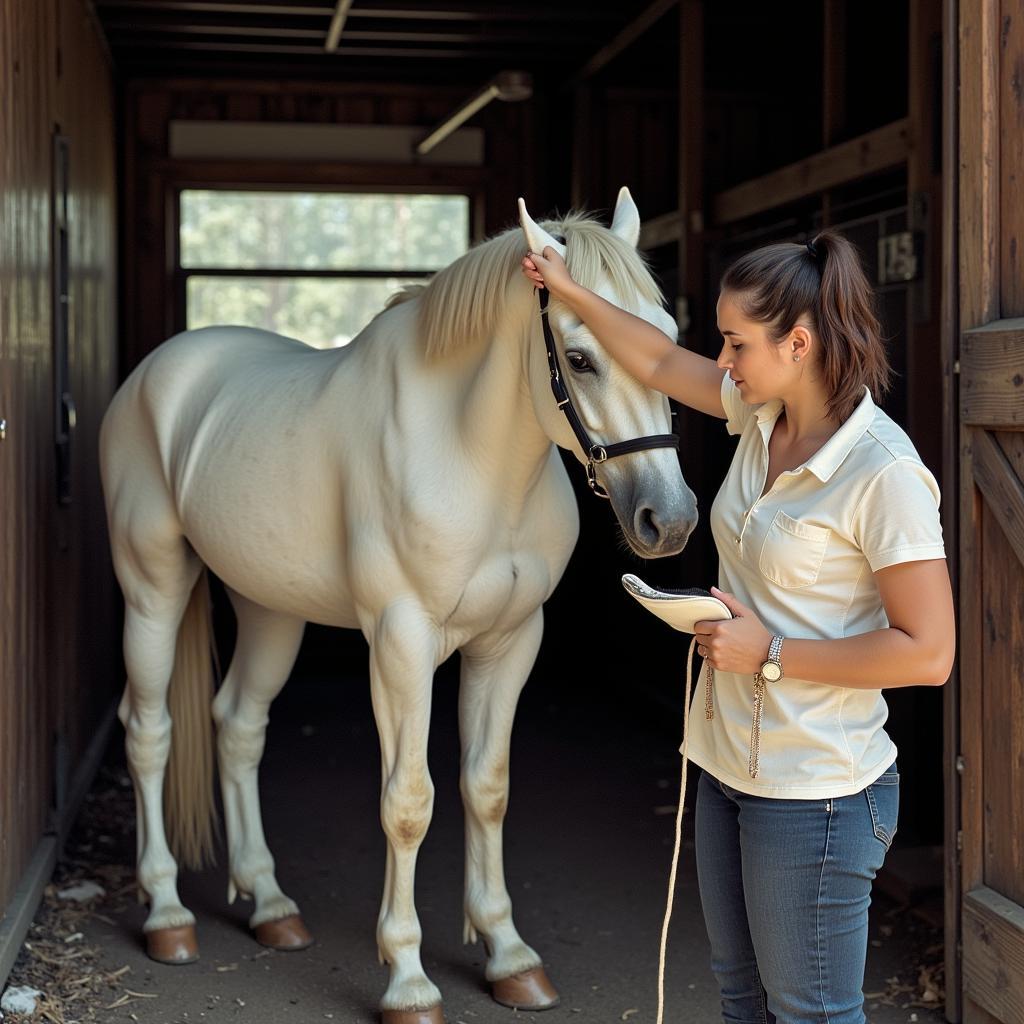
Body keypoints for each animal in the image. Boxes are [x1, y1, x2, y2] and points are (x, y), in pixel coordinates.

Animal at [101, 190, 696, 1024]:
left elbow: (487, 787)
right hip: (152, 584)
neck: (472, 455)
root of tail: (155, 374)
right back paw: (167, 915)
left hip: (269, 608)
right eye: (580, 358)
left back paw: (272, 905)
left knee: (239, 727)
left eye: (668, 340)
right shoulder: (401, 642)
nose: (668, 521)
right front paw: (408, 980)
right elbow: (410, 800)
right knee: (149, 731)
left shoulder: (511, 641)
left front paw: (509, 955)